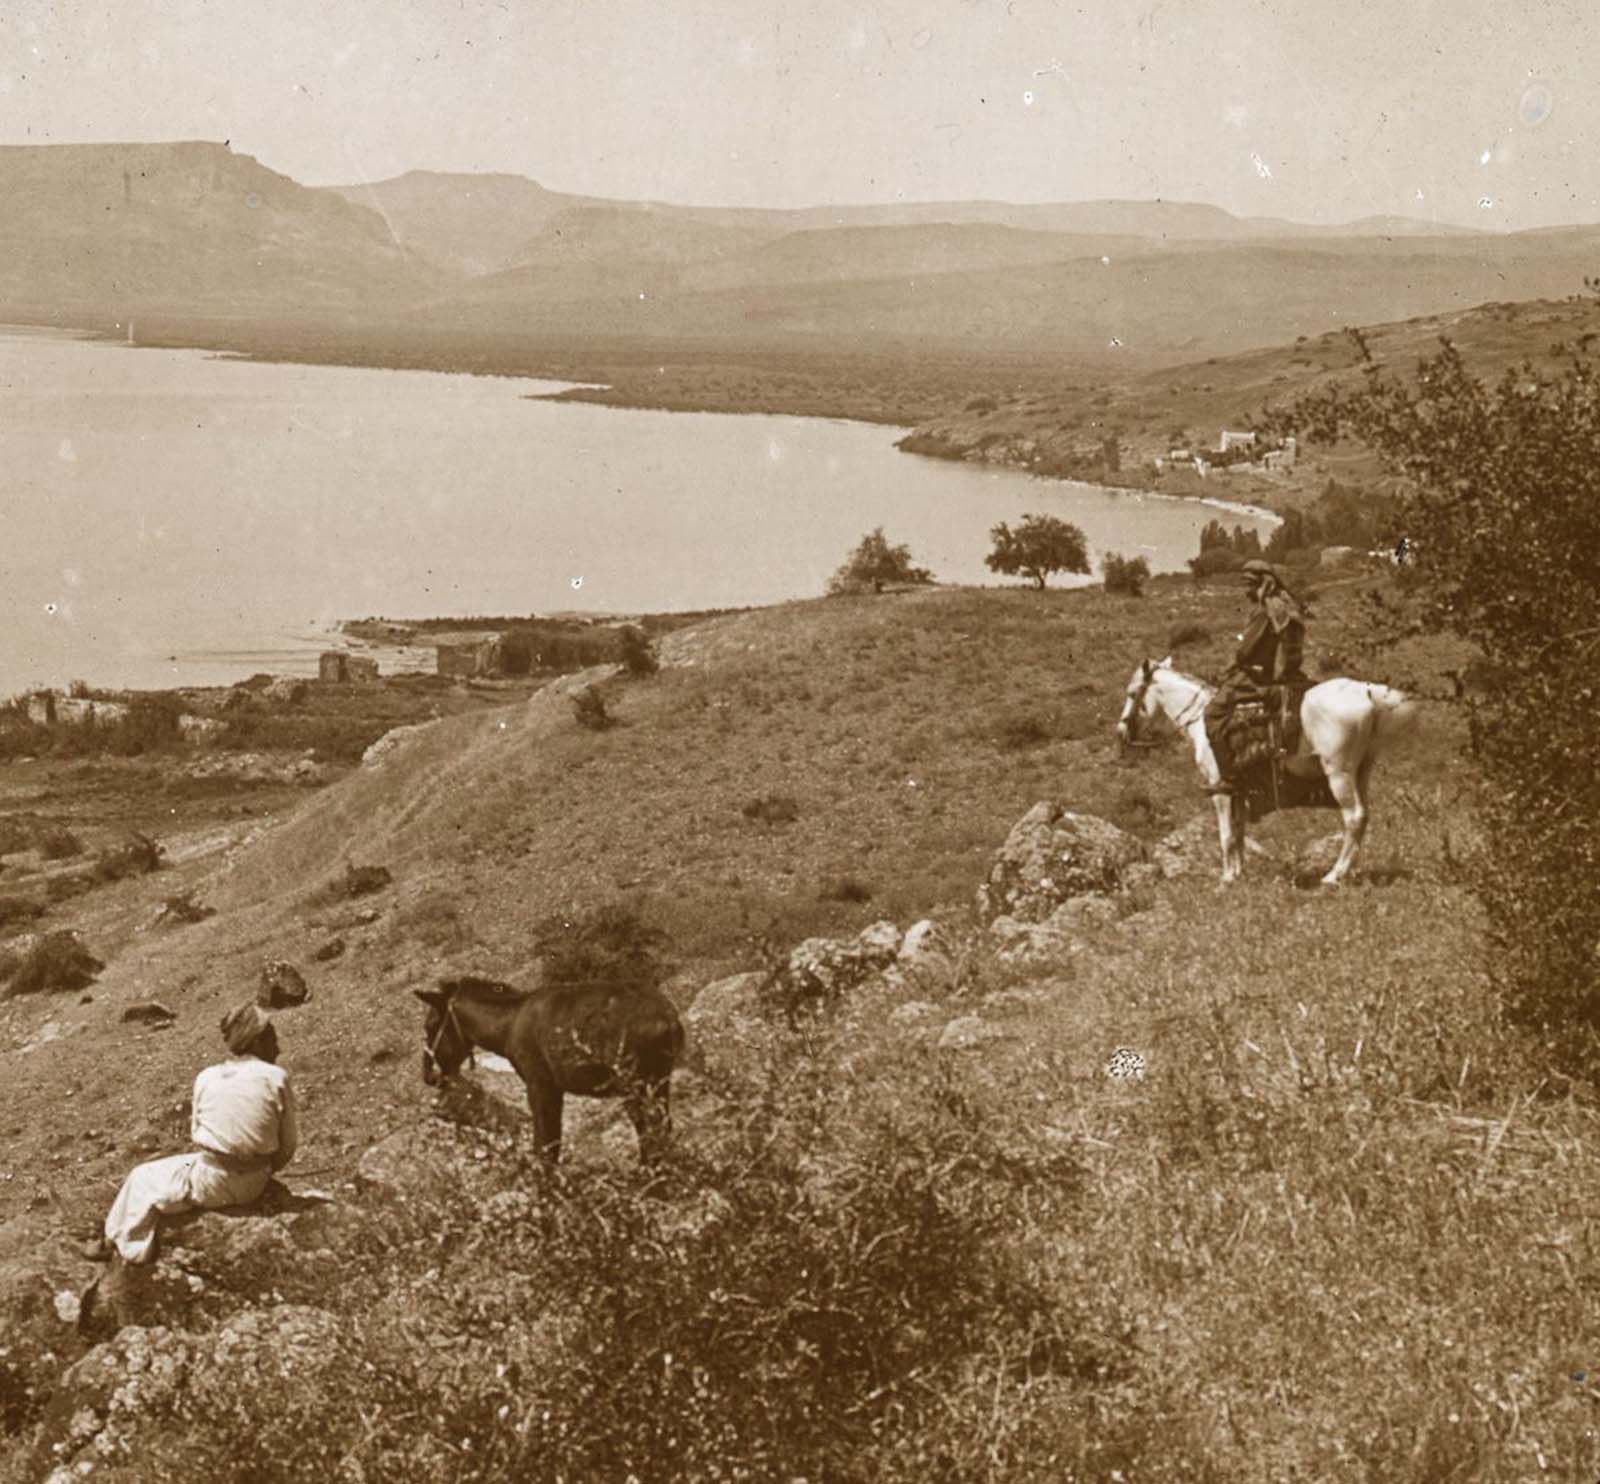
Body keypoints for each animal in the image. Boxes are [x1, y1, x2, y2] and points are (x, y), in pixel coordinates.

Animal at [1120, 658, 1420, 889]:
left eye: (1132, 693)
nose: (1121, 730)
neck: (1201, 721)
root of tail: (1366, 693)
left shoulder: (1219, 789)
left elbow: (1226, 835)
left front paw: (1226, 879)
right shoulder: (1238, 790)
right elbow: (1239, 833)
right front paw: (1239, 873)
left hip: (1339, 774)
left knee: (1354, 818)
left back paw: (1333, 876)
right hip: (1361, 772)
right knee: (1364, 817)